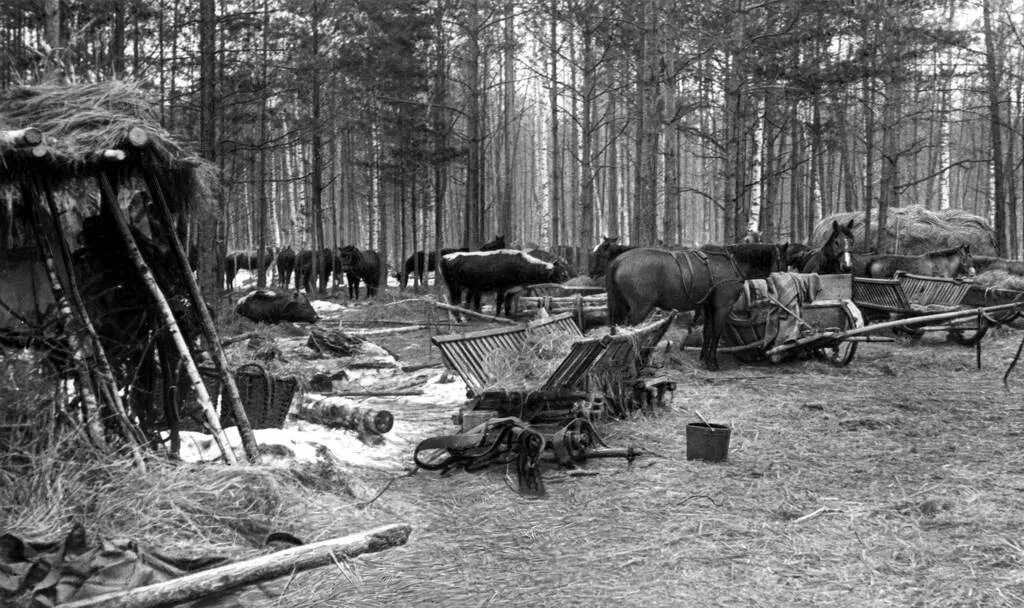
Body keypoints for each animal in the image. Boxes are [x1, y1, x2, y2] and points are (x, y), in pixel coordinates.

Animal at [438, 247, 573, 315]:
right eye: (559, 271)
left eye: (564, 269)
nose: (566, 277)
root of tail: (445, 256)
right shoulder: (501, 288)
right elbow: (499, 303)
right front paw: (498, 316)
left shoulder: (512, 291)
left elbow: (508, 305)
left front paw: (509, 316)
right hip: (452, 285)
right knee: (454, 301)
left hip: (467, 287)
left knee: (465, 301)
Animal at [602, 239, 786, 366]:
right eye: (783, 261)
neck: (732, 263)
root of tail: (618, 261)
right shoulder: (723, 306)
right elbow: (716, 332)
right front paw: (712, 362)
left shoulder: (709, 307)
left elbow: (708, 332)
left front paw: (704, 358)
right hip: (640, 309)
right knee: (631, 332)